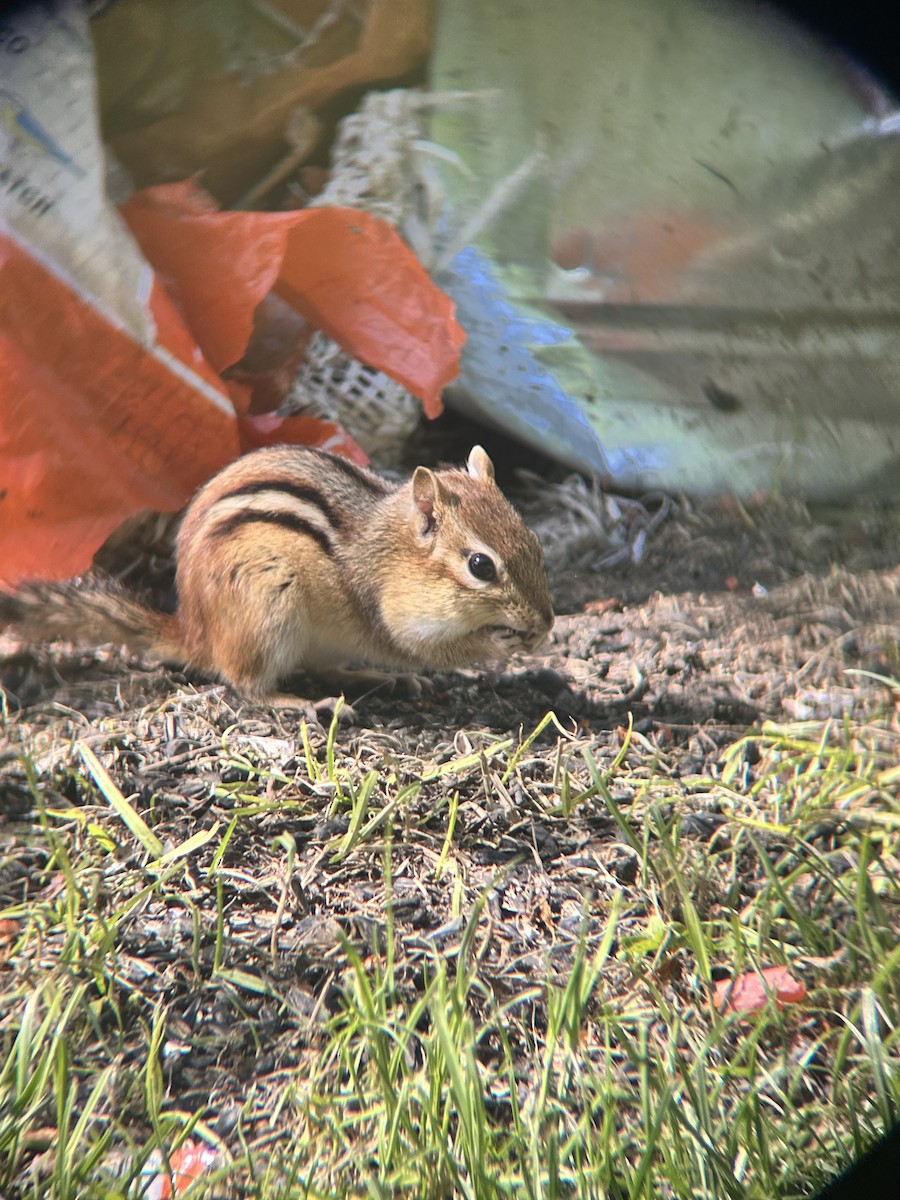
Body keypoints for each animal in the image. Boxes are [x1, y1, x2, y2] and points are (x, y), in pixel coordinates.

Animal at [0, 445, 554, 705]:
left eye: (533, 540)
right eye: (480, 565)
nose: (547, 623)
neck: (395, 552)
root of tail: (194, 631)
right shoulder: (394, 614)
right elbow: (429, 648)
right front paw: (503, 641)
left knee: (324, 667)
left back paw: (377, 678)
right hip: (268, 607)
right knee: (247, 685)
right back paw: (303, 704)